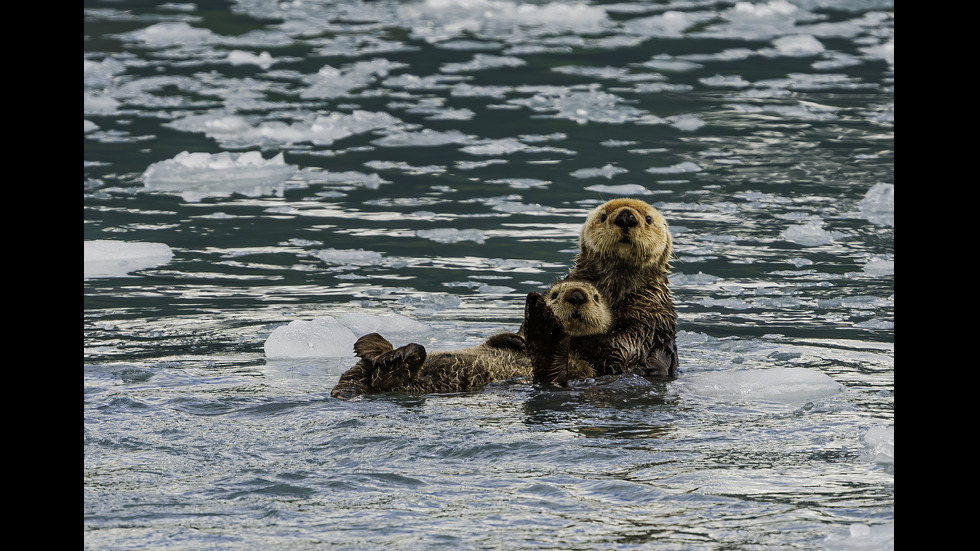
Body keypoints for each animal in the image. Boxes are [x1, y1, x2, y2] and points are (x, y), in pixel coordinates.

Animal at [332, 280, 612, 402]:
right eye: (555, 293)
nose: (576, 295)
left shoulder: (584, 369)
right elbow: (499, 340)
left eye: (596, 297)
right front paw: (518, 340)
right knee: (359, 370)